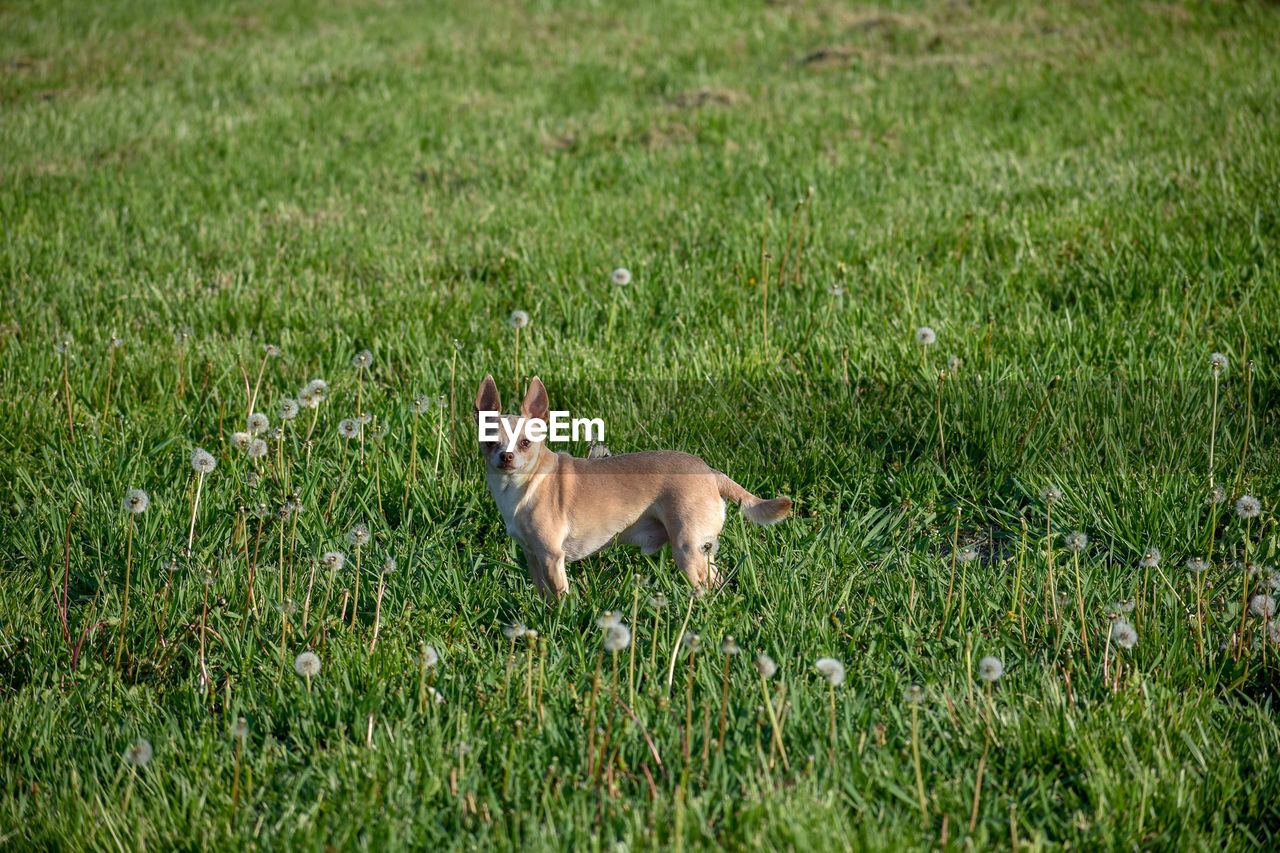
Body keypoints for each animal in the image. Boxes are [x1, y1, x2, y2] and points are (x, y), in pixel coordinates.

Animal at [473, 371, 788, 596]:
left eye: (525, 443)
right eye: (490, 442)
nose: (506, 456)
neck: (521, 487)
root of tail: (709, 471)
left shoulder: (551, 556)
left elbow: (560, 595)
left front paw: (559, 619)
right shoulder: (533, 556)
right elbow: (543, 593)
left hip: (688, 548)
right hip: (699, 550)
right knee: (717, 578)